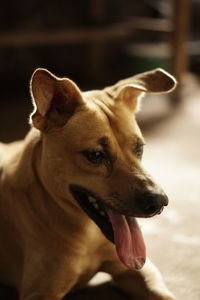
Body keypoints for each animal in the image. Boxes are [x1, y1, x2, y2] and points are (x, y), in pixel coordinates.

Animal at [0, 68, 177, 300]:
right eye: (95, 155)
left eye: (140, 148)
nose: (159, 202)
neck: (89, 235)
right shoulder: (40, 292)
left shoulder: (138, 269)